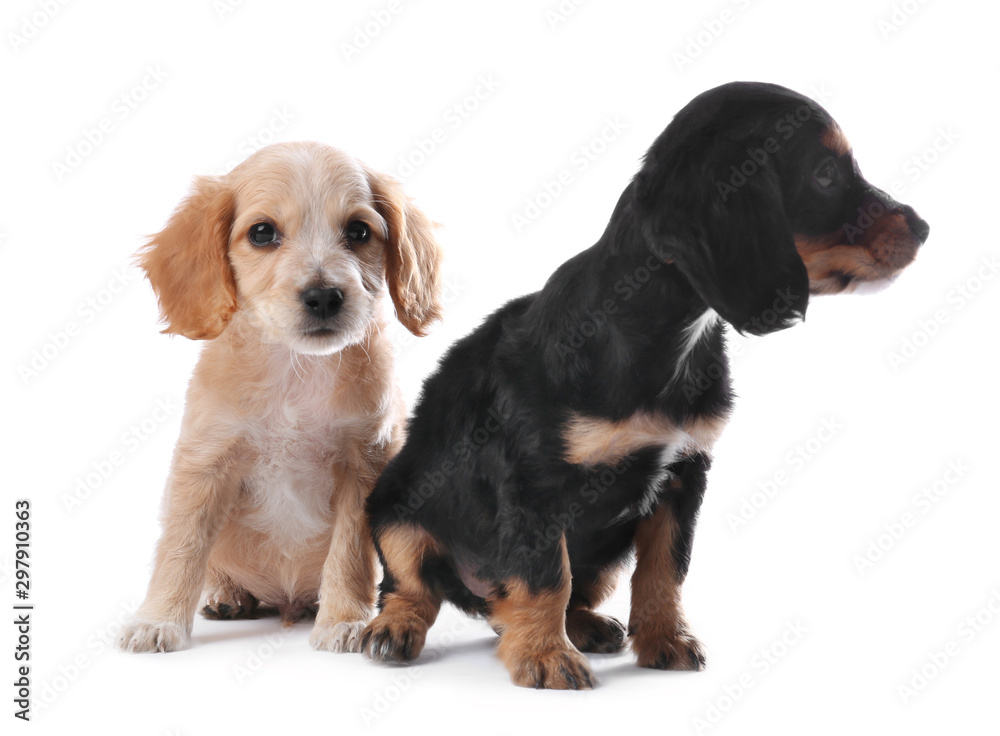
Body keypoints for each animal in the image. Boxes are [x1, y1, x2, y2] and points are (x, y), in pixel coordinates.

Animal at [119, 142, 440, 656]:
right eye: (263, 232)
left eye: (358, 231)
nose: (324, 296)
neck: (296, 370)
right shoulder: (204, 465)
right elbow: (181, 550)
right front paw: (157, 620)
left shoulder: (364, 465)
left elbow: (349, 554)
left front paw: (344, 619)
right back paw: (228, 595)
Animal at [360, 83, 928, 688]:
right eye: (824, 174)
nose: (923, 227)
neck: (665, 329)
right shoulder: (534, 482)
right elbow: (545, 575)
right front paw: (545, 657)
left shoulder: (683, 473)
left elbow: (664, 570)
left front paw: (664, 641)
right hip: (397, 505)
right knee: (413, 583)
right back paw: (396, 628)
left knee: (546, 597)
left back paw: (583, 627)